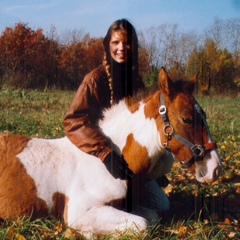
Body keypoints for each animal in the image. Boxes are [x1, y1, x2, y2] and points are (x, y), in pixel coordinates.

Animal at [0, 68, 221, 238]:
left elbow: (152, 217)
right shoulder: (81, 212)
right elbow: (143, 224)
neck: (110, 163)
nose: (215, 169)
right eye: (186, 119)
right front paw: (86, 233)